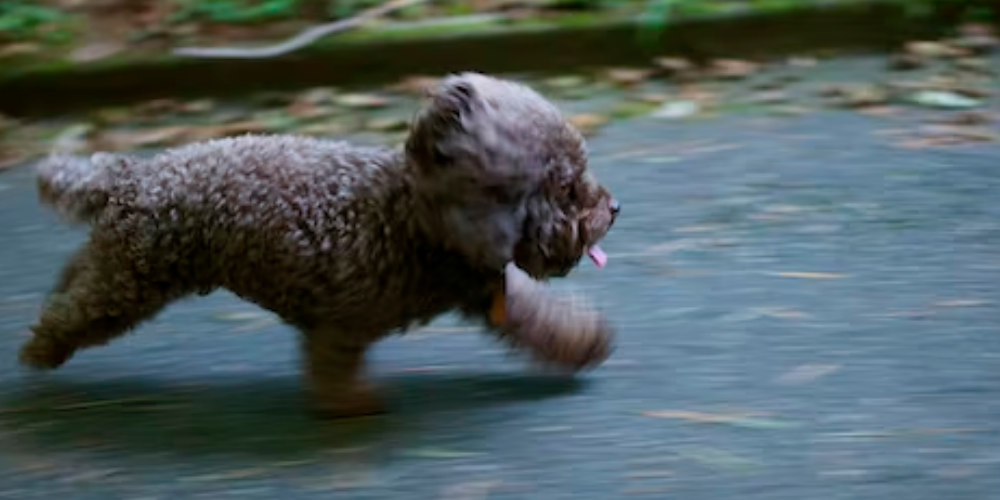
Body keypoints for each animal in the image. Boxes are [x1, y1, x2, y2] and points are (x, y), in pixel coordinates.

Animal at [21, 72, 616, 418]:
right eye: (566, 188)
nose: (612, 210)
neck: (420, 219)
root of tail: (132, 175)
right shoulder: (343, 321)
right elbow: (331, 369)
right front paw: (352, 405)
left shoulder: (486, 293)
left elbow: (540, 322)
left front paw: (585, 342)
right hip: (133, 281)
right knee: (75, 313)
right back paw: (40, 351)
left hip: (121, 261)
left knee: (74, 278)